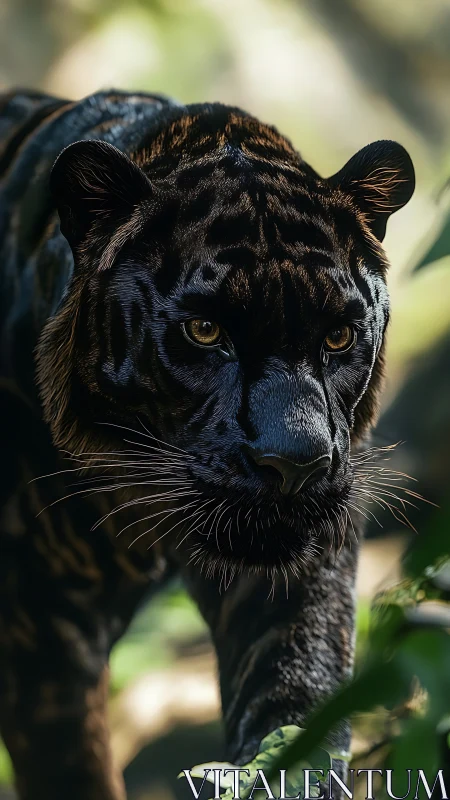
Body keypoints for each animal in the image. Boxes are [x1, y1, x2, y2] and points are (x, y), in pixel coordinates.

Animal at [0, 88, 415, 800]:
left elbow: (295, 713)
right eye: (204, 330)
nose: (295, 464)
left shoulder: (299, 578)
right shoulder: (37, 624)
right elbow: (71, 765)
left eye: (337, 337)